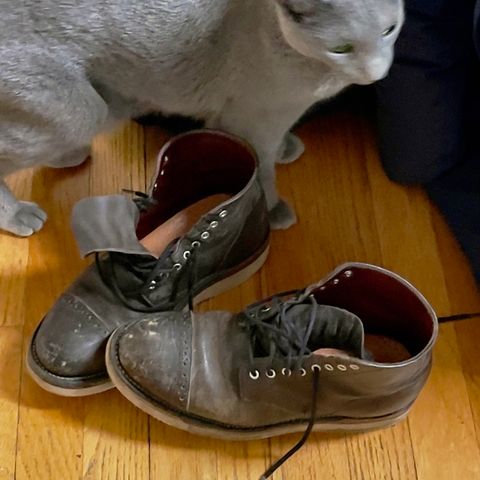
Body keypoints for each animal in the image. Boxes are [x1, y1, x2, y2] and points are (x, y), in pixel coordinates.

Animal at [0, 0, 404, 236]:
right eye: (342, 48)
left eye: (390, 29)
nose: (377, 73)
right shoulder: (250, 117)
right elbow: (261, 168)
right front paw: (274, 211)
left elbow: (272, 147)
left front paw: (286, 148)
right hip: (80, 110)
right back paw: (19, 215)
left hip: (110, 102)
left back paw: (69, 155)